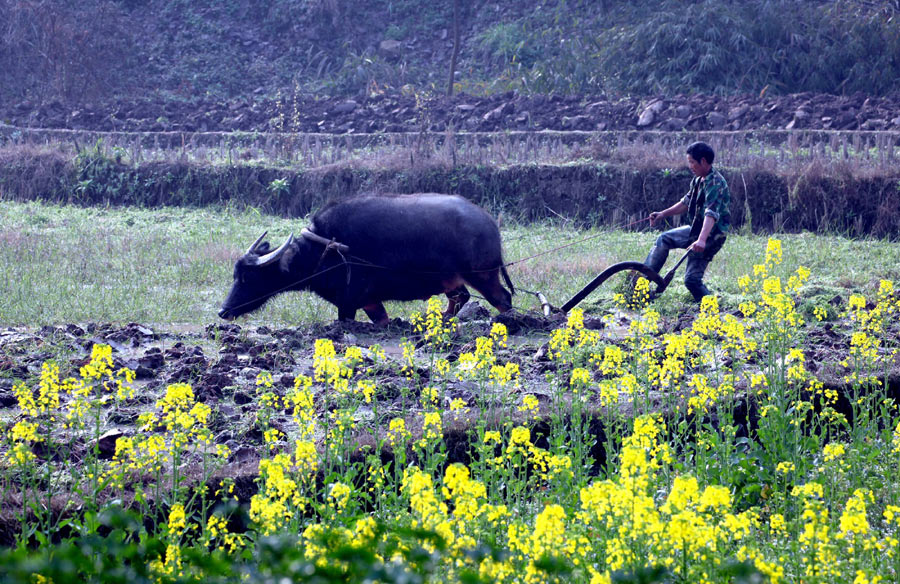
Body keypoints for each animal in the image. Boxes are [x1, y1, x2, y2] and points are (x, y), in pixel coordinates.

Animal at [216, 195, 512, 324]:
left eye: (248, 277)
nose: (223, 311)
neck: (326, 250)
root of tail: (488, 223)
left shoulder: (348, 304)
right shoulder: (369, 302)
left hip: (483, 275)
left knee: (503, 299)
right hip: (451, 280)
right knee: (460, 298)